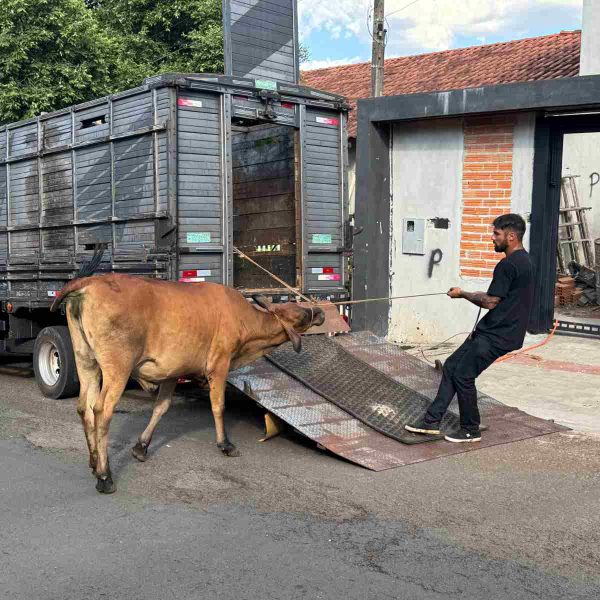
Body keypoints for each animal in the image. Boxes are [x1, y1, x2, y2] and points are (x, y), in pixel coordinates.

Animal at [51, 274, 324, 494]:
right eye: (299, 312)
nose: (320, 312)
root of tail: (90, 282)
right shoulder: (219, 363)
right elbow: (218, 406)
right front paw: (225, 444)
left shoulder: (172, 371)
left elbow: (161, 407)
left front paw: (141, 447)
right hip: (117, 366)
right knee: (101, 410)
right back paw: (104, 475)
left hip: (85, 360)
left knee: (84, 407)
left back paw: (93, 460)